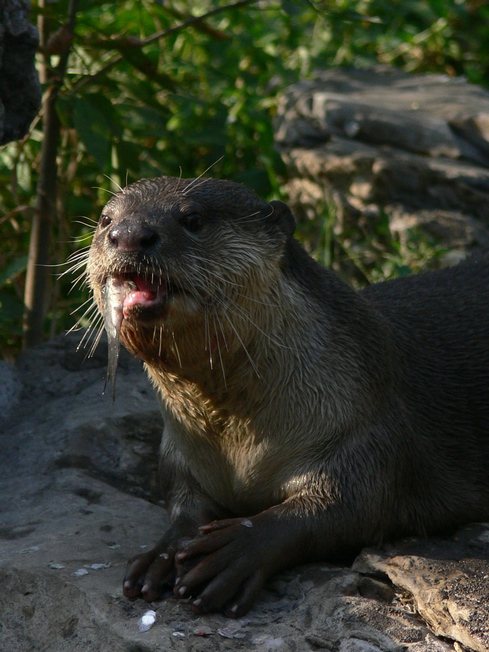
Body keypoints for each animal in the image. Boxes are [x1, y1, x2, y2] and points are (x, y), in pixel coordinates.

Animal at [86, 175, 489, 618]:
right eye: (106, 219)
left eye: (193, 219)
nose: (128, 235)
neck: (237, 443)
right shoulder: (179, 450)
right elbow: (182, 500)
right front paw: (161, 555)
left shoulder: (367, 426)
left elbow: (348, 505)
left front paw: (235, 550)